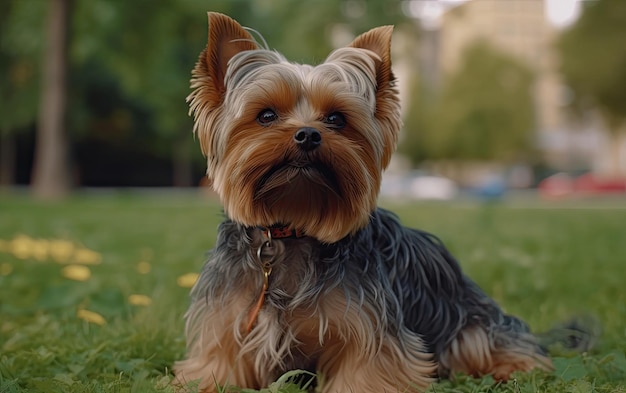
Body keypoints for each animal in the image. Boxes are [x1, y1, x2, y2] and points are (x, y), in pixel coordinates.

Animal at [172, 11, 552, 388]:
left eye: (336, 118)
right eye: (266, 115)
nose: (308, 134)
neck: (294, 227)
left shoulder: (368, 330)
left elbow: (367, 369)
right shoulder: (228, 320)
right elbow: (219, 368)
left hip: (468, 325)